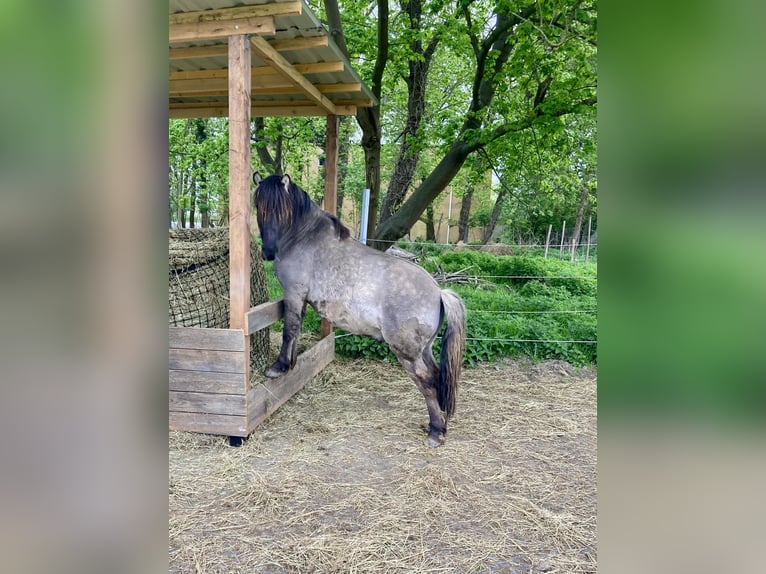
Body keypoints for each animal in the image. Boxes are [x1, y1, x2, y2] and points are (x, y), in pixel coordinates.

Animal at [252, 173, 467, 447]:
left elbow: (290, 329)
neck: (305, 239)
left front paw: (278, 367)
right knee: (438, 378)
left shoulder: (293, 293)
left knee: (427, 382)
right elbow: (296, 330)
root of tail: (438, 291)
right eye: (259, 207)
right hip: (424, 349)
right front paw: (290, 364)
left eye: (282, 210)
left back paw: (436, 431)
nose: (268, 252)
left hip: (407, 352)